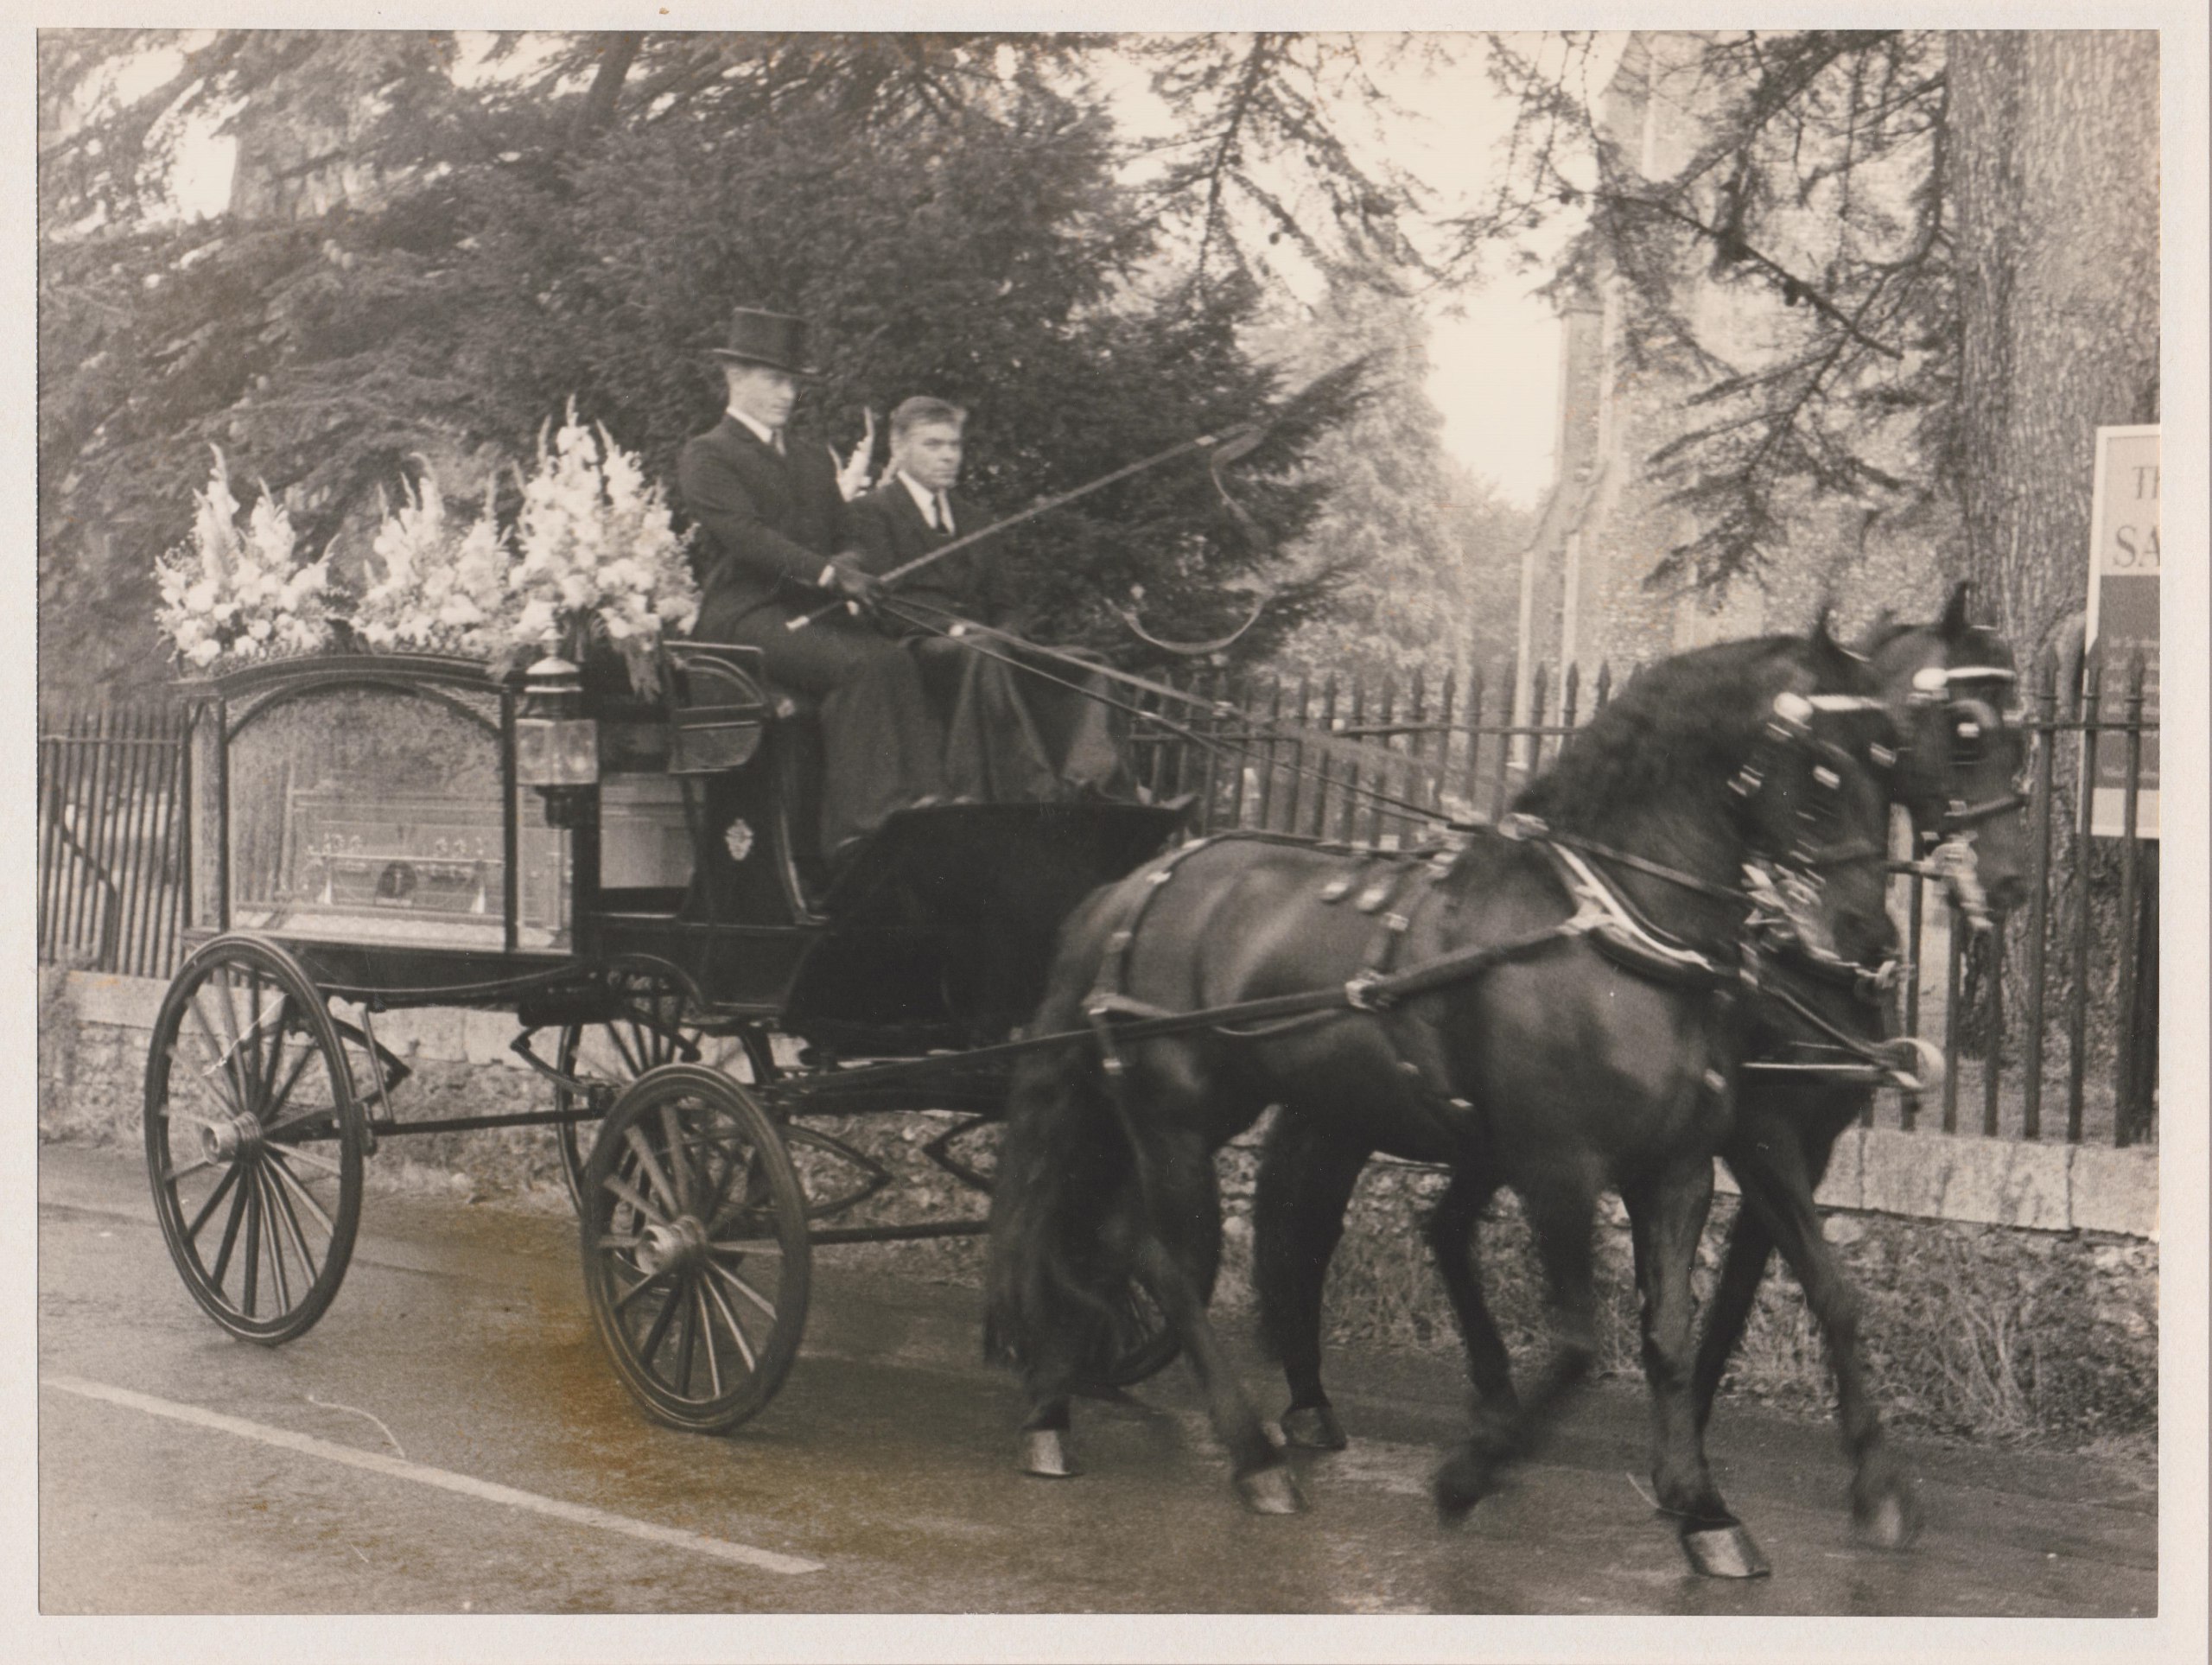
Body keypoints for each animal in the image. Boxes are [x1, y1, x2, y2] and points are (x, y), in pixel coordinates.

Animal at [986, 623, 1902, 1574]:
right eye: (1826, 771)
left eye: (1891, 761)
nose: (1866, 936)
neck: (1622, 936)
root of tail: (1140, 883)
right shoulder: (1559, 1166)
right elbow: (1579, 1344)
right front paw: (1471, 1473)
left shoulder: (1677, 1169)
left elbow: (1671, 1338)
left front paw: (1703, 1509)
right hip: (1175, 1114)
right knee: (1167, 1262)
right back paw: (1252, 1456)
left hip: (1182, 1115)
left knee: (1107, 1239)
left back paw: (1054, 1411)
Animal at [1247, 588, 2025, 1556]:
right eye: (1965, 730)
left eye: (2023, 729)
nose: (2008, 881)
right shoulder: (1759, 1136)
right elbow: (1821, 1290)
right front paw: (1861, 1484)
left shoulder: (1782, 1150)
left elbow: (1742, 1300)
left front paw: (1699, 1461)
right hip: (1360, 1116)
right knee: (1307, 1226)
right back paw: (1314, 1399)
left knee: (1431, 1227)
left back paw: (1451, 1399)